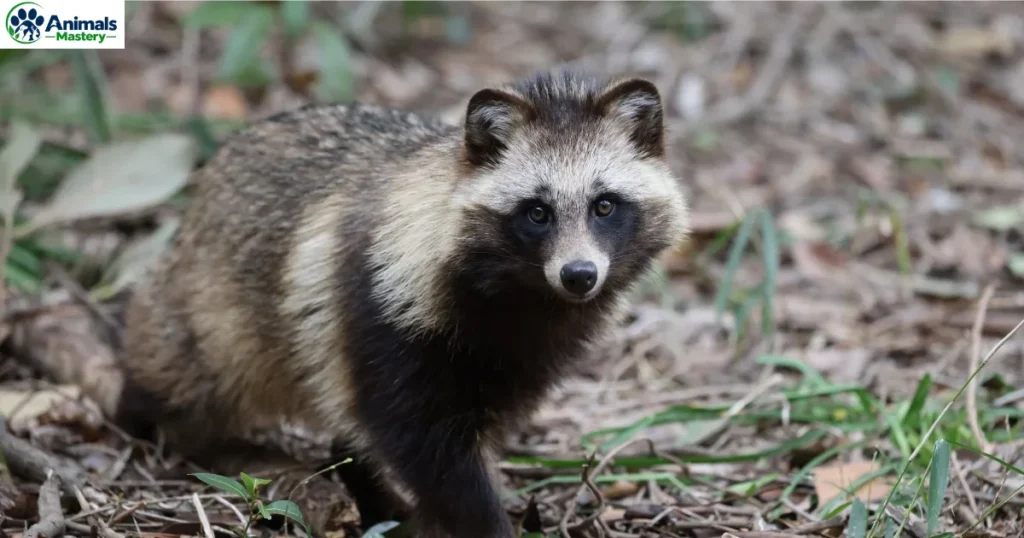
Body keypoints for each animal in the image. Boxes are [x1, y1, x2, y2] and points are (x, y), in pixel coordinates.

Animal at [116, 69, 690, 537]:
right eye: (537, 212)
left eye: (605, 205)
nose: (579, 275)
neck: (522, 297)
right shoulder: (379, 306)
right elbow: (425, 448)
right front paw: (485, 523)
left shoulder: (522, 360)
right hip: (211, 309)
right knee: (191, 373)